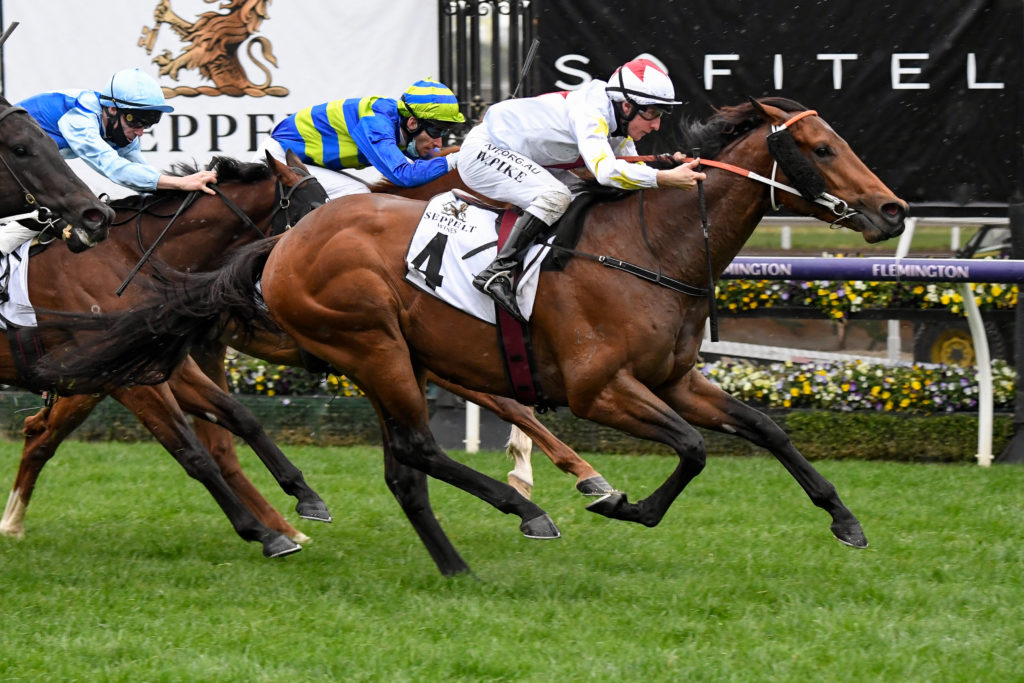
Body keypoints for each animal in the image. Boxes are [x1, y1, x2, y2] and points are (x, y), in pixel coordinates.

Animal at [0, 153, 332, 558]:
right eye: (312, 209)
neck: (129, 261)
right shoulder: (128, 380)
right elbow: (193, 453)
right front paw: (264, 534)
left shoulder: (164, 365)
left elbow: (240, 418)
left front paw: (306, 496)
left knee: (40, 434)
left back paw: (12, 522)